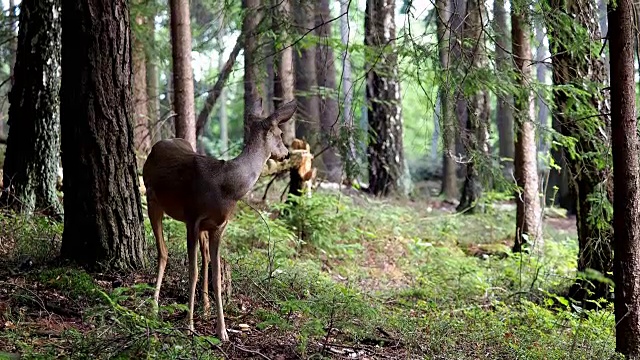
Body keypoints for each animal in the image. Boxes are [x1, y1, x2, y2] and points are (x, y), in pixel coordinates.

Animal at [141, 97, 296, 340]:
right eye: (279, 133)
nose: (286, 154)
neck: (226, 187)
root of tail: (160, 144)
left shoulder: (219, 226)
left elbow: (216, 276)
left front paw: (222, 331)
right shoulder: (192, 218)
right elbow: (192, 271)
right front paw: (189, 325)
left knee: (203, 256)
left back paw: (204, 307)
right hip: (152, 199)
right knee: (163, 251)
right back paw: (154, 308)